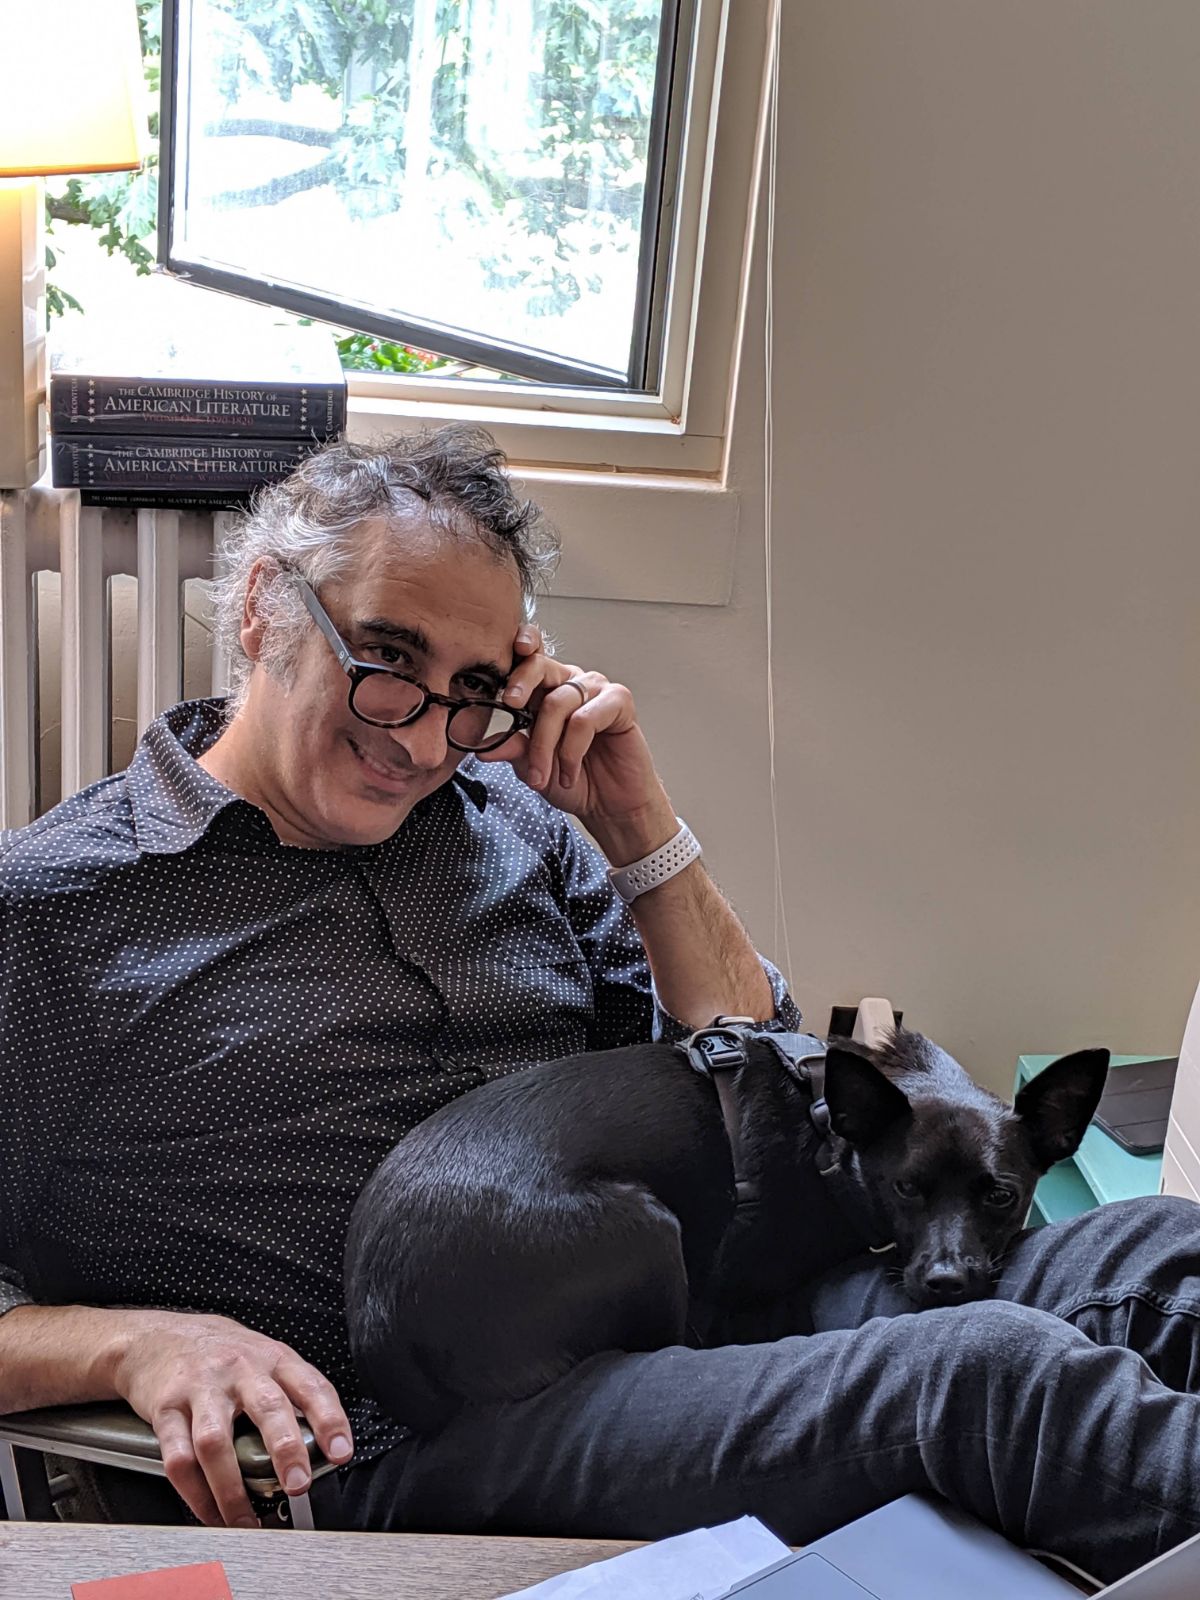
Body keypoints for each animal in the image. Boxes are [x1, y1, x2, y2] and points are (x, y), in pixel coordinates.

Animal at [345, 1030, 1107, 1433]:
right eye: (905, 1189)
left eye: (1002, 1197)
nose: (946, 1282)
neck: (832, 1137)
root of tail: (377, 1317)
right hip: (647, 1228)